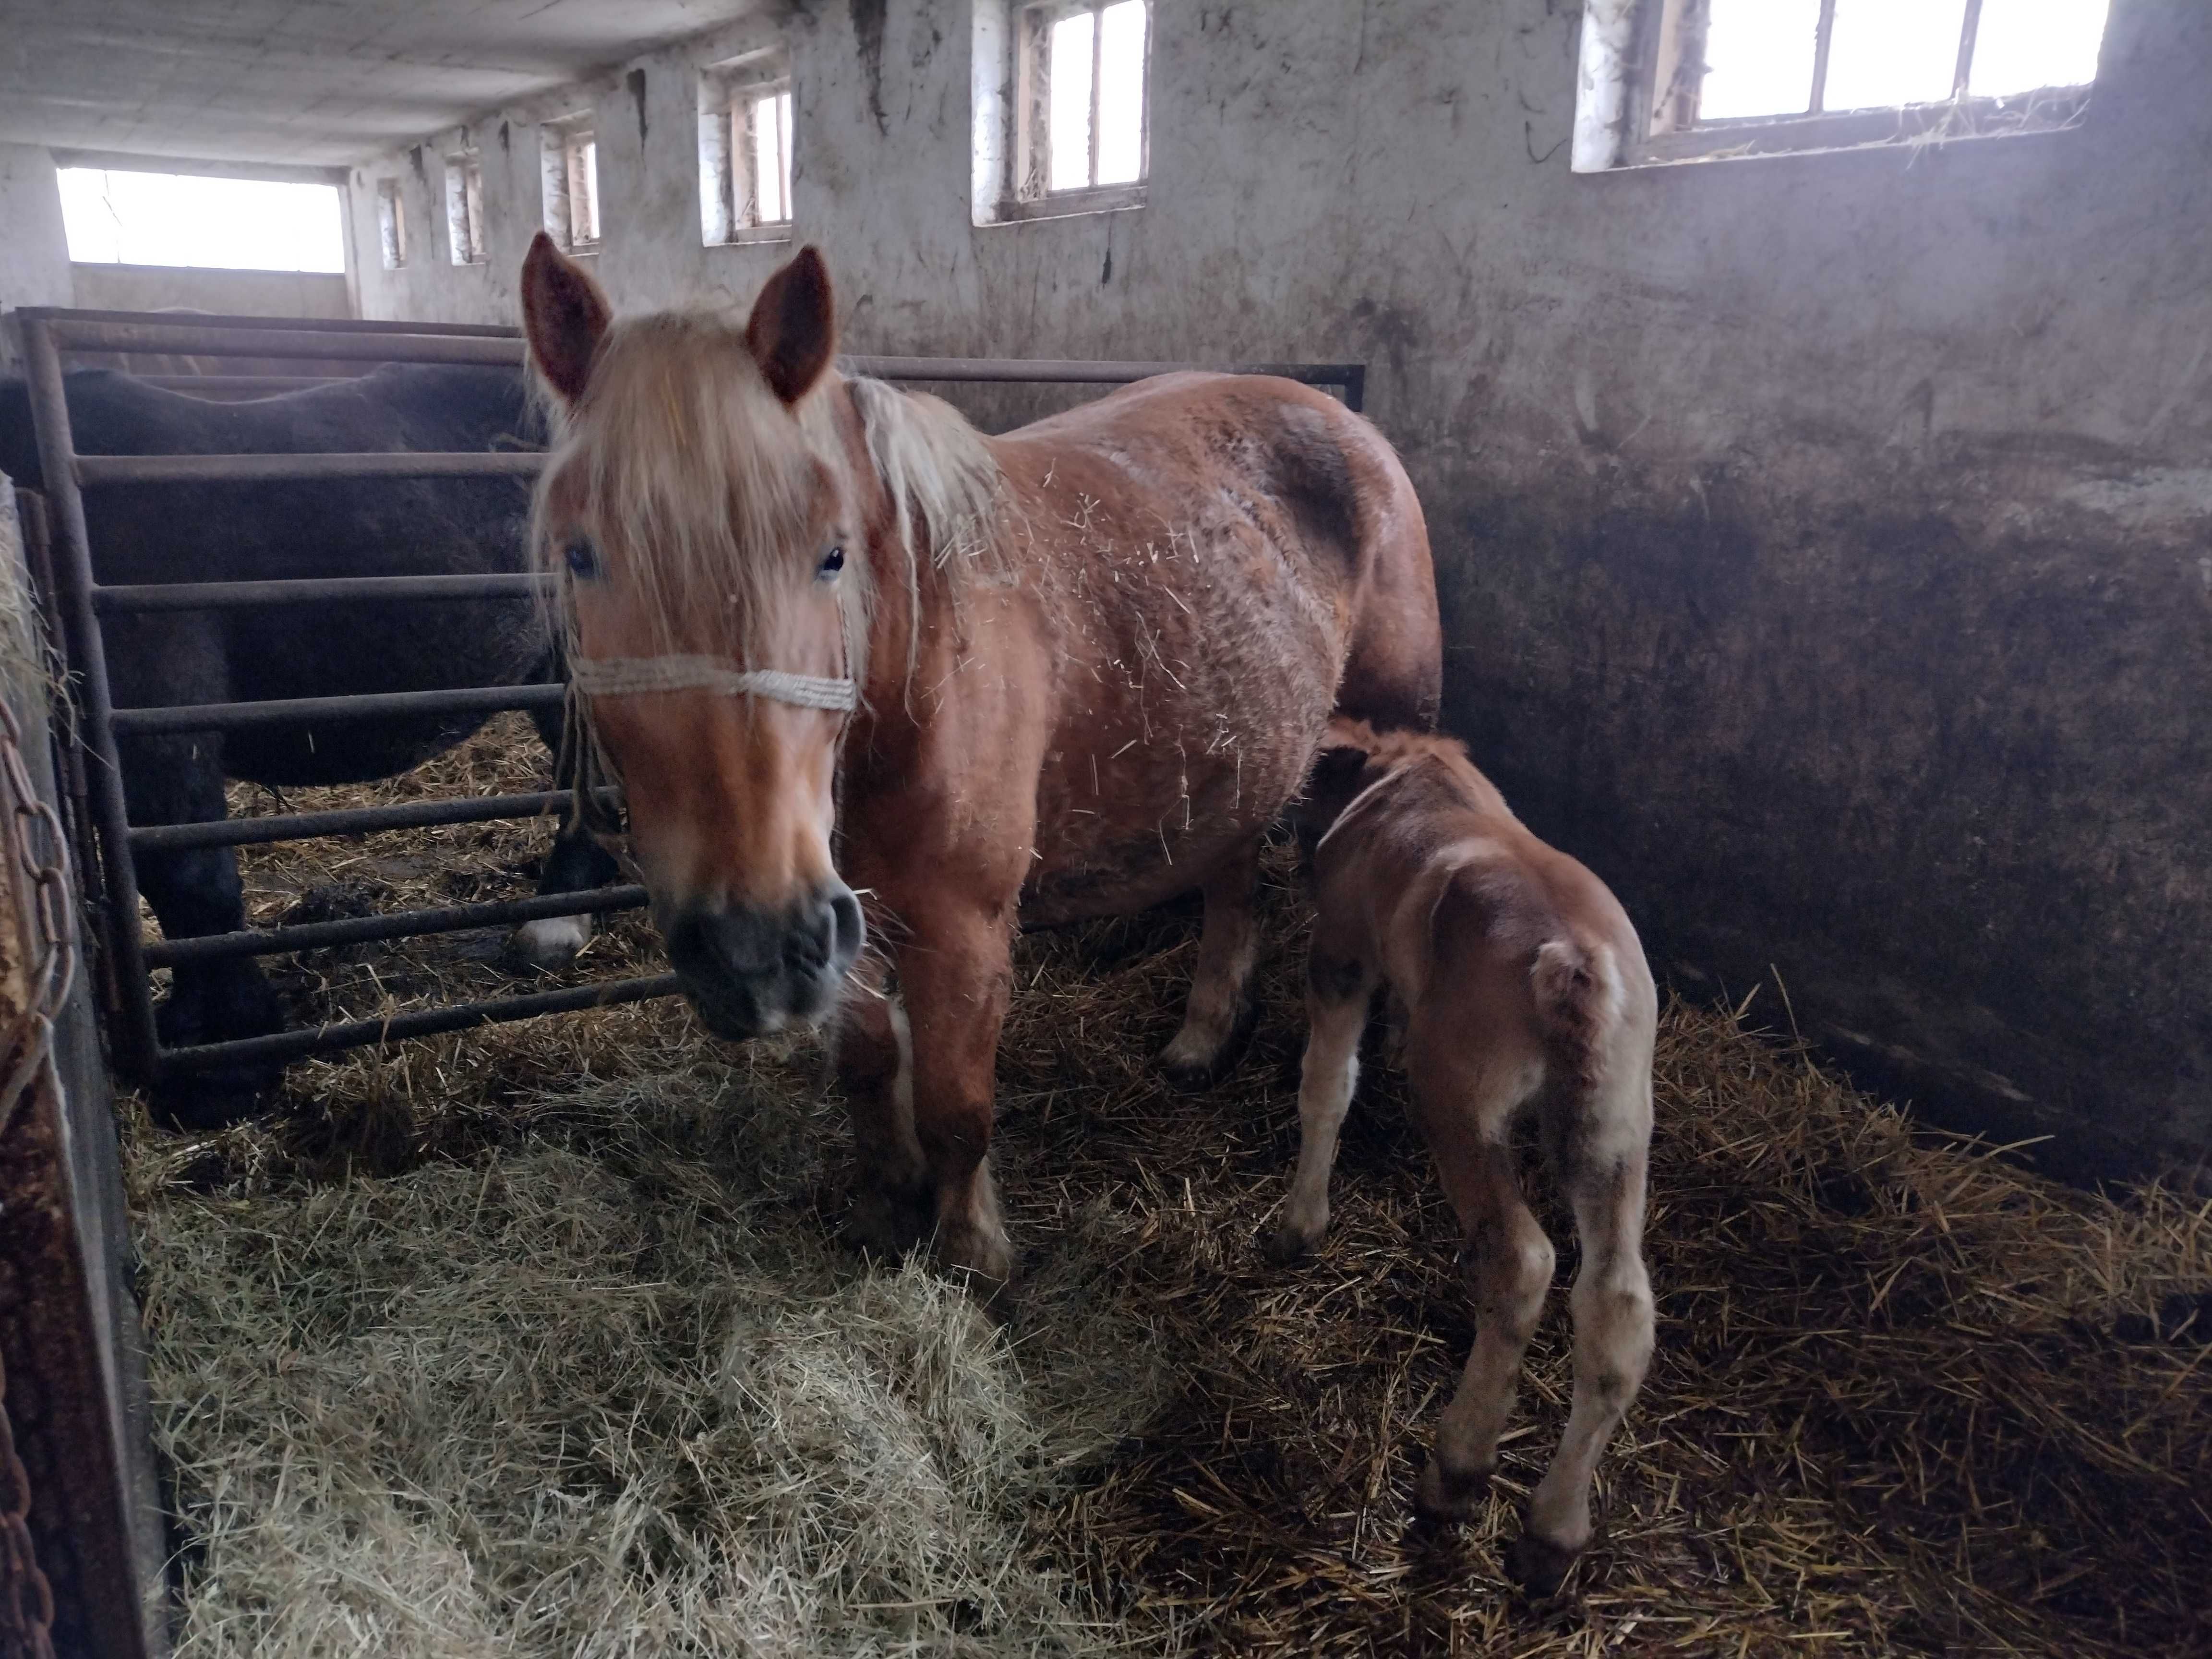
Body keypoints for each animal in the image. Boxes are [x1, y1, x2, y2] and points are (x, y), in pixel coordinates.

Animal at [1274, 725, 1654, 1601]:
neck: (1400, 776)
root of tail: (1575, 964)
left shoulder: (1340, 953)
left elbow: (1327, 1084)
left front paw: (1297, 1226)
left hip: (1459, 1099)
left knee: (1521, 1260)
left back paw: (1455, 1470)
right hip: (1615, 1125)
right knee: (1618, 1303)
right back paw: (1552, 1535)